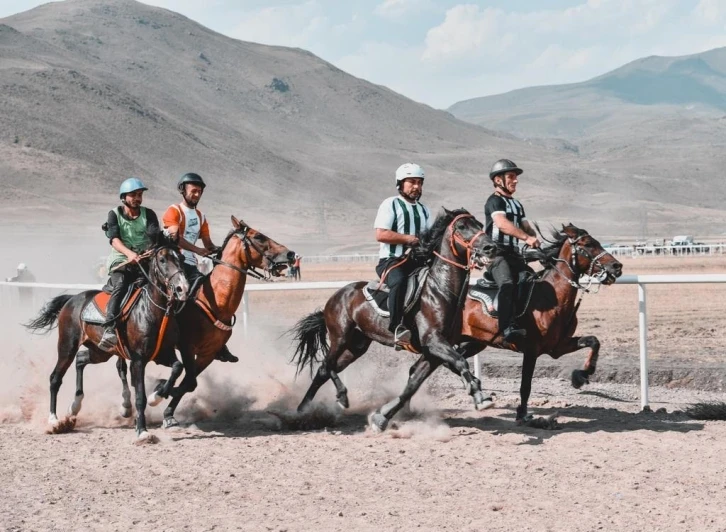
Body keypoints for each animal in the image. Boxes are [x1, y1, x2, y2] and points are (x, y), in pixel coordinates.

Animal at [26, 243, 191, 438]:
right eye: (163, 259)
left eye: (181, 258)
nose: (183, 288)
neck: (152, 311)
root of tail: (72, 299)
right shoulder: (138, 360)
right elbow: (140, 396)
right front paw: (142, 431)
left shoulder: (163, 354)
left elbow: (177, 368)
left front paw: (156, 397)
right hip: (67, 346)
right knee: (55, 378)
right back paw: (53, 420)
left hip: (100, 352)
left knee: (81, 360)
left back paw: (75, 406)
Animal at [155, 214, 298, 426]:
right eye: (259, 236)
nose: (290, 254)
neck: (215, 303)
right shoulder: (187, 347)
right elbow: (188, 381)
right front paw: (160, 392)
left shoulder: (207, 354)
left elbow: (189, 383)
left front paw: (167, 409)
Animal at [290, 208, 500, 432]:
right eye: (461, 227)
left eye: (479, 225)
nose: (490, 247)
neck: (441, 291)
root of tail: (335, 297)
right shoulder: (433, 341)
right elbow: (459, 361)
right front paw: (479, 395)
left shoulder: (434, 350)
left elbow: (414, 383)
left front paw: (382, 417)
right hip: (340, 337)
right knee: (327, 365)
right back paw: (339, 397)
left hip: (356, 346)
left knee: (323, 370)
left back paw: (303, 410)